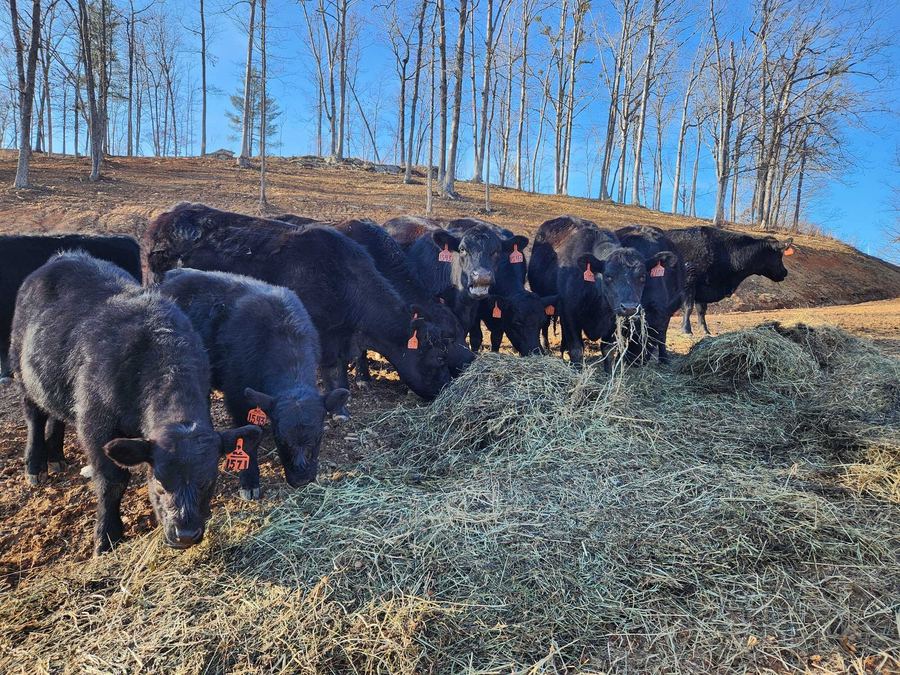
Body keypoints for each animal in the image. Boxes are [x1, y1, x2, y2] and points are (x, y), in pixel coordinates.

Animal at [9, 252, 262, 553]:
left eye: (208, 482)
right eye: (159, 483)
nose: (186, 534)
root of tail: (65, 256)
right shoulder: (96, 427)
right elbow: (112, 482)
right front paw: (107, 535)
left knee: (55, 415)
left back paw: (56, 456)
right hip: (22, 373)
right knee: (34, 416)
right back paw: (36, 465)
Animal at [159, 268, 349, 499]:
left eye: (319, 435)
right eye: (280, 439)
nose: (302, 480)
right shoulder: (237, 399)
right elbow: (247, 442)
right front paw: (249, 482)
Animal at [528, 216, 677, 365]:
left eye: (642, 277)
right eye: (608, 276)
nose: (629, 307)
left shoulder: (613, 320)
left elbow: (608, 351)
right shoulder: (569, 313)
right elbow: (576, 349)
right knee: (545, 325)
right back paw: (546, 348)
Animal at [615, 226, 685, 363]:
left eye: (651, 333)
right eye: (627, 330)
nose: (635, 360)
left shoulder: (666, 313)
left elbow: (663, 336)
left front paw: (664, 358)